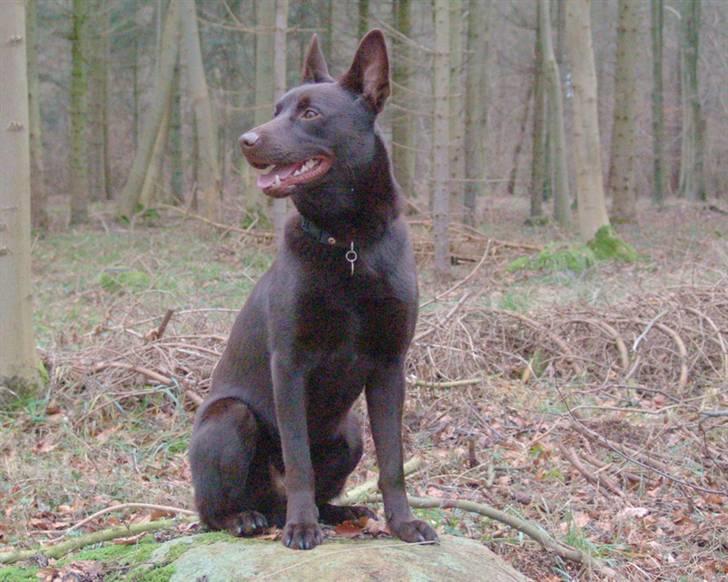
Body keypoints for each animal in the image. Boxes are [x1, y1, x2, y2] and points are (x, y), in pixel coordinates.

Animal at [189, 30, 438, 552]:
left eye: (309, 113)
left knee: (324, 486)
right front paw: (301, 528)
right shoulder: (289, 365)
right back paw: (250, 518)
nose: (246, 141)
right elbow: (299, 458)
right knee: (211, 510)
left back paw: (340, 511)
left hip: (350, 432)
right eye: (277, 108)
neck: (347, 244)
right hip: (230, 418)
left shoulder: (390, 366)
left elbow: (393, 462)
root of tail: (269, 503)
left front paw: (404, 524)